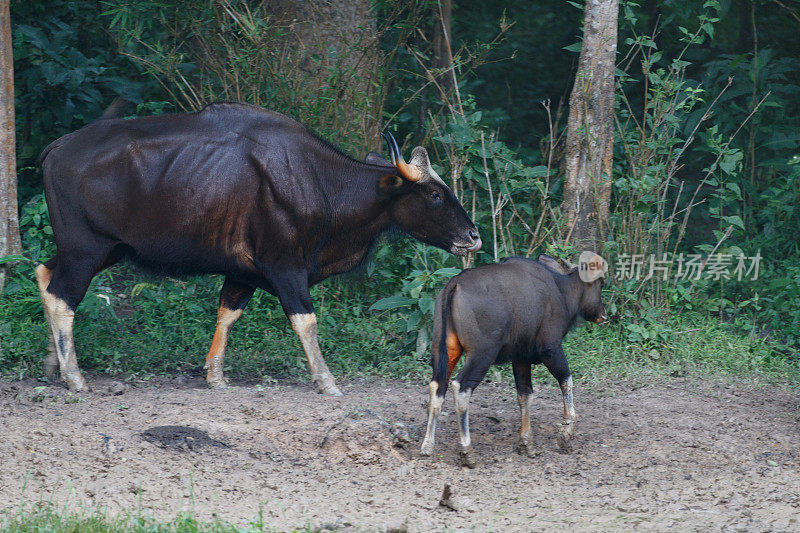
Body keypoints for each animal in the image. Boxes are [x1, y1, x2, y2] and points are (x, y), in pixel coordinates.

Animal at [37, 104, 478, 394]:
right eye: (435, 195)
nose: (473, 235)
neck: (320, 183)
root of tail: (56, 148)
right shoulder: (285, 266)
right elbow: (306, 321)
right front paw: (327, 380)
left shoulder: (243, 271)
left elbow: (227, 314)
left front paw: (215, 376)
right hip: (87, 249)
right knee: (63, 295)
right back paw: (74, 376)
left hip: (103, 249)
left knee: (45, 275)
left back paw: (53, 361)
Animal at [418, 254, 608, 466]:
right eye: (600, 283)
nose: (603, 313)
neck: (562, 292)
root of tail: (454, 284)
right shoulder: (550, 348)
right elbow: (566, 381)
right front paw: (565, 434)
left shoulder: (520, 357)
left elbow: (525, 395)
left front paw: (526, 443)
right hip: (482, 353)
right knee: (460, 387)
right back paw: (467, 451)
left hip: (445, 349)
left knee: (437, 386)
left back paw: (427, 447)